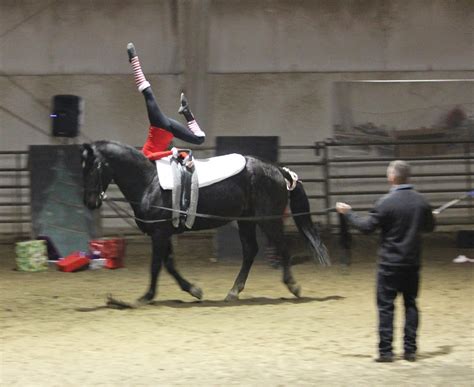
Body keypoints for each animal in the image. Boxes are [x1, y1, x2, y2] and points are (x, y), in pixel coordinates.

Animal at [80, 140, 330, 306]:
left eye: (93, 166)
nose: (90, 202)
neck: (149, 182)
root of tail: (279, 170)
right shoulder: (164, 233)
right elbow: (169, 264)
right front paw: (193, 290)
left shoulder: (160, 233)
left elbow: (157, 265)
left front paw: (145, 297)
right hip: (246, 221)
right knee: (250, 251)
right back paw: (233, 292)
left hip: (267, 220)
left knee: (282, 247)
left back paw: (293, 286)